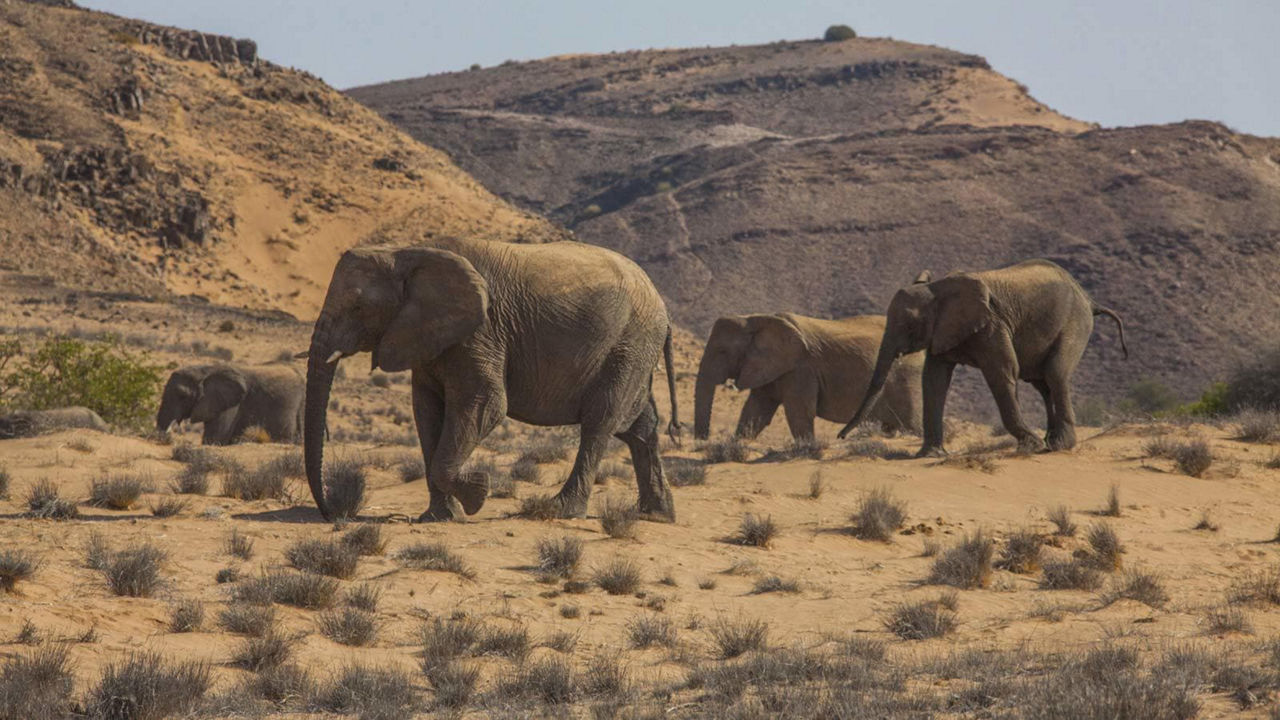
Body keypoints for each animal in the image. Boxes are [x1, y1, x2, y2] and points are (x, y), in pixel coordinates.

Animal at [302, 235, 680, 520]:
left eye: (358, 308)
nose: (331, 513)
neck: (405, 252)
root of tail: (662, 306)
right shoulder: (428, 336)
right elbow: (426, 412)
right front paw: (440, 517)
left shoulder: (480, 331)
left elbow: (486, 403)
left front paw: (477, 493)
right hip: (633, 350)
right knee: (639, 427)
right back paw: (656, 515)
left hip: (629, 344)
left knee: (600, 422)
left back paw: (559, 511)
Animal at [696, 311, 926, 440]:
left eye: (722, 352)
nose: (703, 439)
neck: (754, 319)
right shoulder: (769, 367)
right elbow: (756, 410)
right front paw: (735, 447)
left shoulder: (801, 369)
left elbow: (798, 412)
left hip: (906, 378)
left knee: (912, 425)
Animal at [839, 258, 1131, 453]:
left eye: (910, 326)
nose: (840, 438)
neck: (938, 289)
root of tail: (1090, 300)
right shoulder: (943, 331)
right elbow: (933, 380)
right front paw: (929, 455)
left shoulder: (991, 325)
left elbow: (1002, 373)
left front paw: (1032, 444)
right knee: (1041, 383)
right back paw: (1051, 442)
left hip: (1074, 323)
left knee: (1055, 374)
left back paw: (1059, 445)